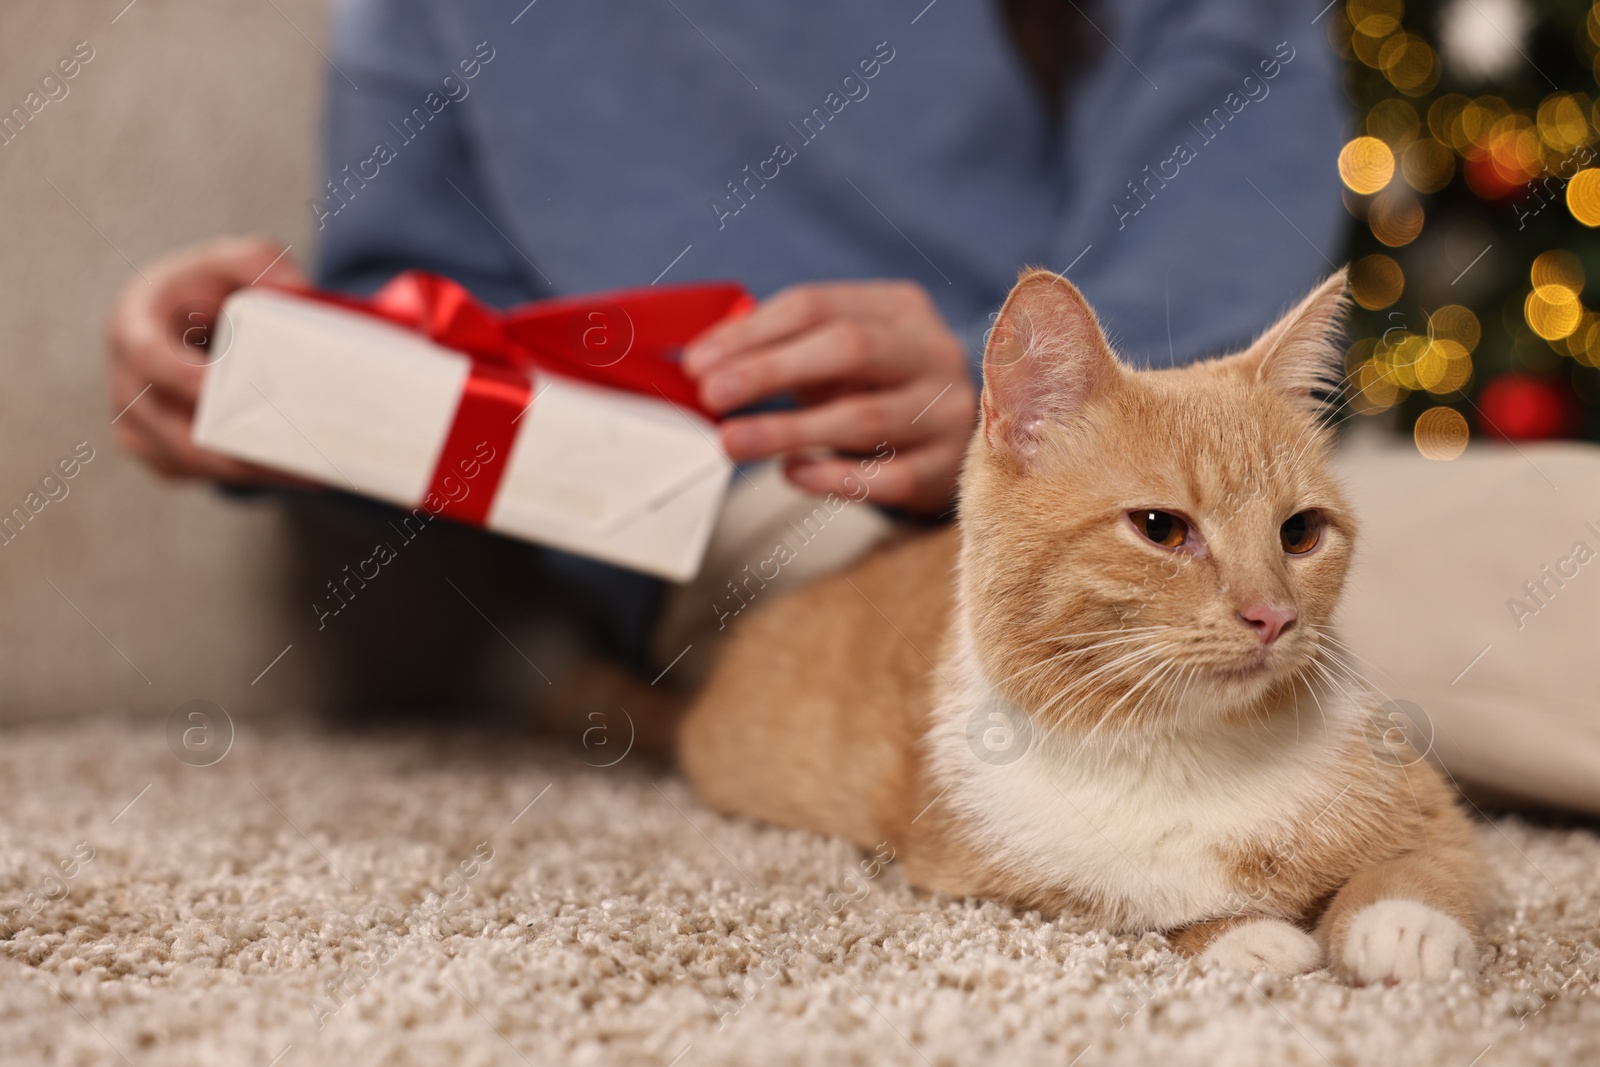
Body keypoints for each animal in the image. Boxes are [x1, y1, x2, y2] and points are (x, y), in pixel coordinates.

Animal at [678, 268, 1484, 985]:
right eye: (1161, 528)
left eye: (1300, 533)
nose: (1275, 615)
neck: (1182, 747)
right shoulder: (987, 877)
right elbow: (1139, 907)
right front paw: (1244, 935)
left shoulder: (1428, 802)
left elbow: (1436, 859)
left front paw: (1400, 922)